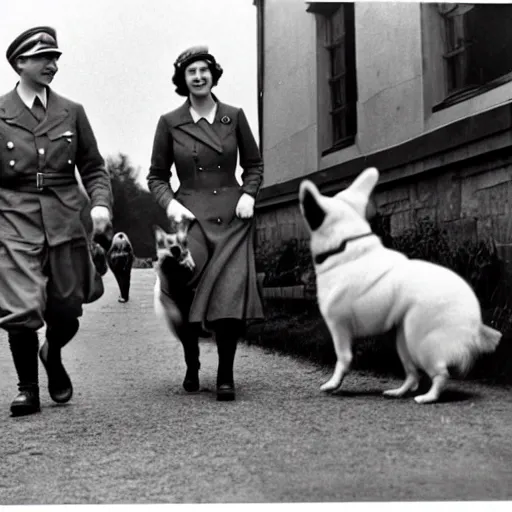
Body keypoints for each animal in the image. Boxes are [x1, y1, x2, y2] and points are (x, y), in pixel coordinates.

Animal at [298, 168, 502, 404]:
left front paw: (333, 384)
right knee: (413, 375)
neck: (344, 246)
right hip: (403, 337)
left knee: (440, 374)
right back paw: (399, 392)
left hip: (419, 339)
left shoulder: (338, 327)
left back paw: (428, 398)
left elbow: (343, 358)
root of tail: (476, 320)